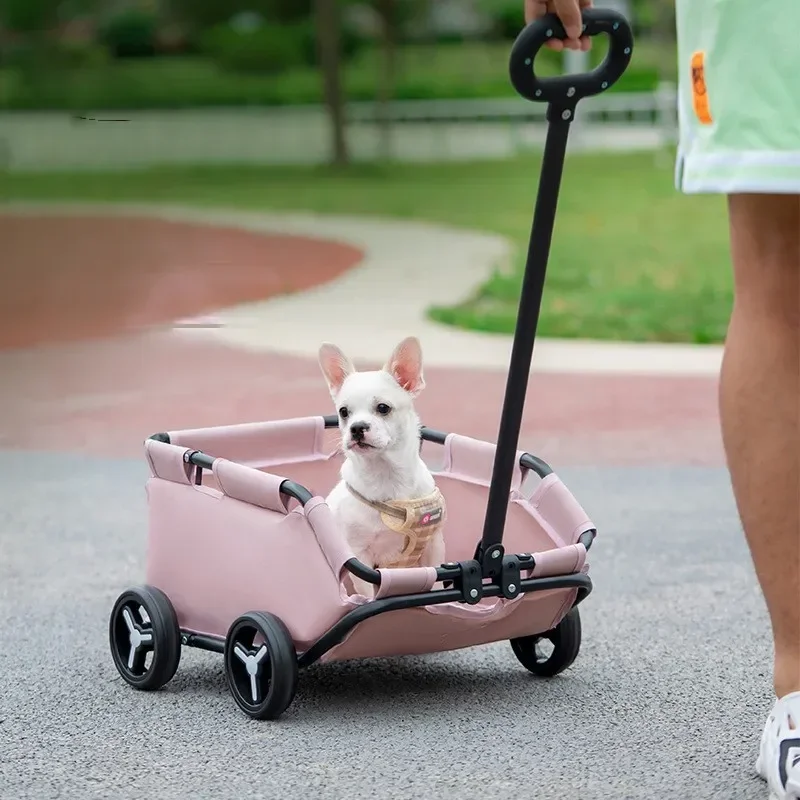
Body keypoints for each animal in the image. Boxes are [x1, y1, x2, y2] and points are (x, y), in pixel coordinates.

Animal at [318, 334, 444, 596]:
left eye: (383, 408)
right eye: (343, 412)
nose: (356, 427)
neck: (387, 475)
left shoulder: (434, 545)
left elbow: (435, 584)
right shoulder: (359, 558)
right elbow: (368, 594)